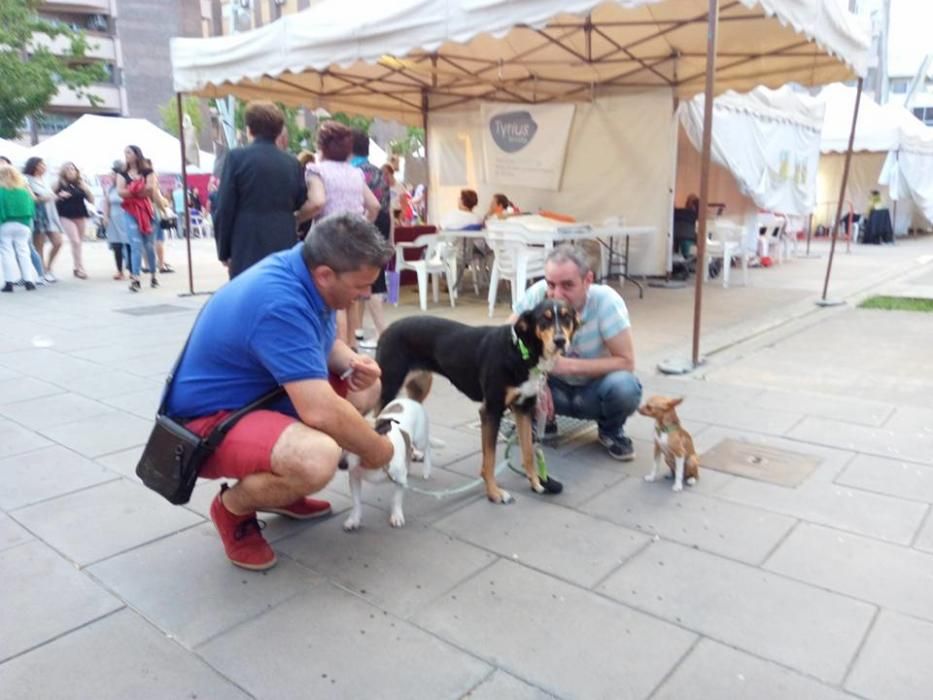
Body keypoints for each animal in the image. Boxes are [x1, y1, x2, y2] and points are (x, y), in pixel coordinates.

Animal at [376, 300, 576, 504]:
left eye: (567, 317)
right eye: (544, 319)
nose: (560, 340)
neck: (521, 352)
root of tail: (388, 329)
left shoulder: (523, 408)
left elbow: (528, 452)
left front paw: (536, 483)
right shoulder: (491, 411)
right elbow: (490, 458)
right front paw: (494, 493)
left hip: (420, 386)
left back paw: (413, 452)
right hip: (389, 386)